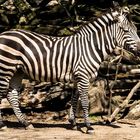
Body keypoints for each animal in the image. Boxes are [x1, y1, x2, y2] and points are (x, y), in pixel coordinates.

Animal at [0, 2, 139, 133]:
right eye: (126, 31)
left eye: (136, 30)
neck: (91, 47)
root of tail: (4, 33)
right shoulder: (83, 76)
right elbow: (84, 102)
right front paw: (88, 127)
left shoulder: (77, 77)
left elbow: (74, 99)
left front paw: (73, 123)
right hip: (5, 68)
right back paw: (3, 125)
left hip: (17, 71)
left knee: (11, 95)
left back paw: (26, 123)